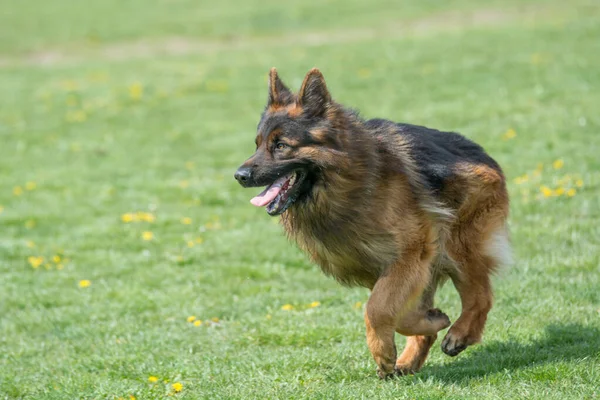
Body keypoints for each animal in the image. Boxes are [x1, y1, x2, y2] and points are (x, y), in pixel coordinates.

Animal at [234, 68, 510, 378]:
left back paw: (461, 333)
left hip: (458, 245)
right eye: (257, 145)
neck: (350, 181)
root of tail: (482, 154)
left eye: (281, 146)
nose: (239, 175)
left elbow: (376, 308)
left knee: (480, 295)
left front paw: (383, 351)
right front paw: (429, 322)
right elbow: (396, 311)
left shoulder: (410, 254)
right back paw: (411, 357)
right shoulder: (392, 268)